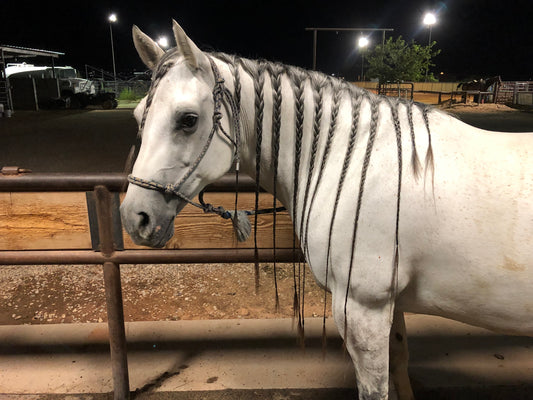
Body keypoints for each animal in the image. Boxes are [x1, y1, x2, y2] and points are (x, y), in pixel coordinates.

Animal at [120, 20, 532, 398]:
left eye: (187, 120)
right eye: (139, 117)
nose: (134, 218)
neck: (352, 163)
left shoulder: (363, 308)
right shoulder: (388, 306)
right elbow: (399, 362)